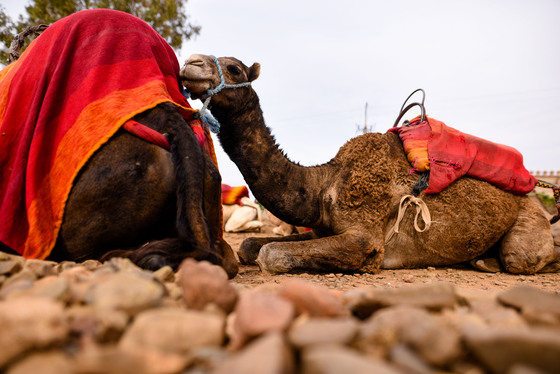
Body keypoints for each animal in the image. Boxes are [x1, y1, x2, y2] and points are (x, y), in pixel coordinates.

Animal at [182, 53, 556, 274]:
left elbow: (271, 255)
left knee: (523, 258)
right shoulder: (324, 227)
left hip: (529, 220)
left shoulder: (365, 238)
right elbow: (250, 246)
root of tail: (535, 193)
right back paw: (480, 259)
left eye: (233, 68)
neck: (322, 182)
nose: (191, 63)